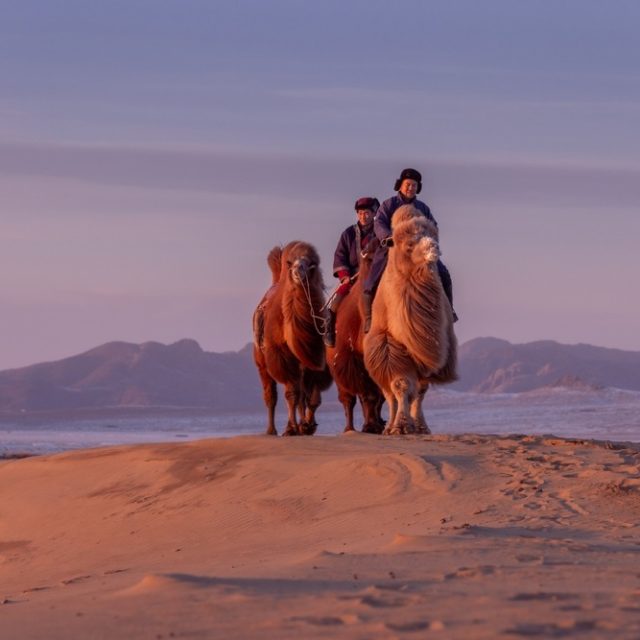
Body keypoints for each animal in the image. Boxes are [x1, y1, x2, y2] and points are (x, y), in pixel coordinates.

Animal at [252, 240, 332, 436]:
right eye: (291, 263)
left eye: (310, 264)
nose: (297, 271)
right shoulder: (282, 356)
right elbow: (292, 394)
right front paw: (291, 428)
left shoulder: (315, 357)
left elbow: (312, 397)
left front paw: (308, 425)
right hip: (261, 362)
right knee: (271, 395)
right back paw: (271, 430)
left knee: (302, 393)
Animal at [328, 240, 382, 436]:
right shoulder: (351, 361)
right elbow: (367, 394)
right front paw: (370, 426)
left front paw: (373, 425)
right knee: (348, 398)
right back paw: (349, 428)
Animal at [362, 205, 458, 436]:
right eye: (409, 244)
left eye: (434, 236)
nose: (434, 248)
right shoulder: (390, 345)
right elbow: (401, 385)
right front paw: (401, 426)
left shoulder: (429, 354)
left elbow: (420, 390)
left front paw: (420, 427)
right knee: (389, 394)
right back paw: (388, 427)